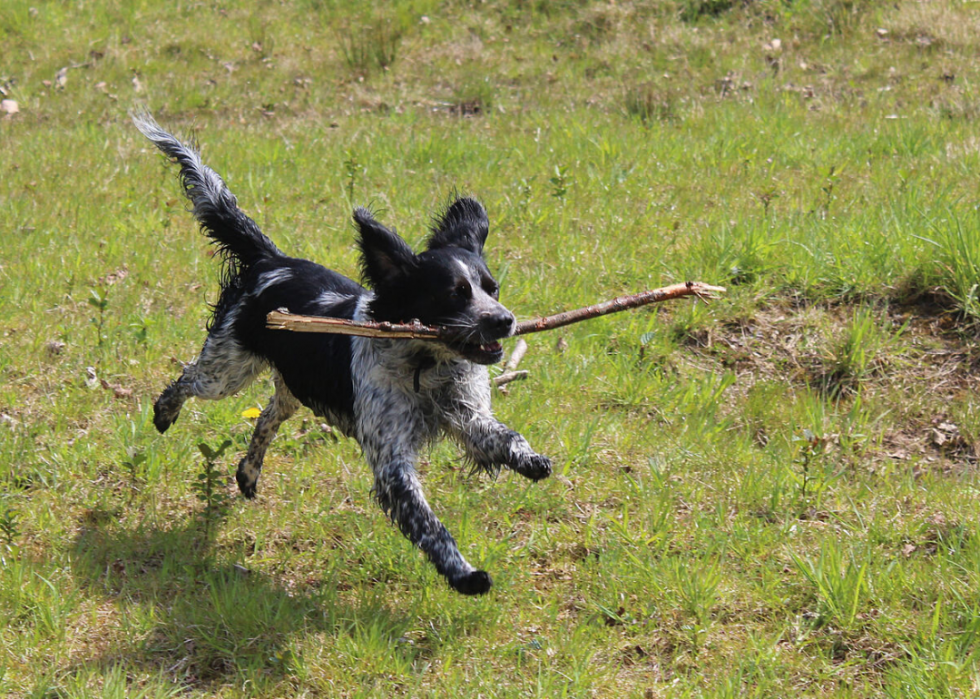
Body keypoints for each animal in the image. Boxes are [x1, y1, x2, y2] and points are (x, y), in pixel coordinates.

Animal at [132, 115, 552, 596]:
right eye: (455, 294)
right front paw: (464, 574)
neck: (425, 363)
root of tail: (270, 259)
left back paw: (248, 473)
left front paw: (531, 460)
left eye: (492, 288)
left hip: (293, 383)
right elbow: (429, 525)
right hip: (227, 371)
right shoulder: (392, 461)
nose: (505, 321)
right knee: (188, 378)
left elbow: (503, 436)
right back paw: (164, 412)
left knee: (268, 414)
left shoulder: (466, 413)